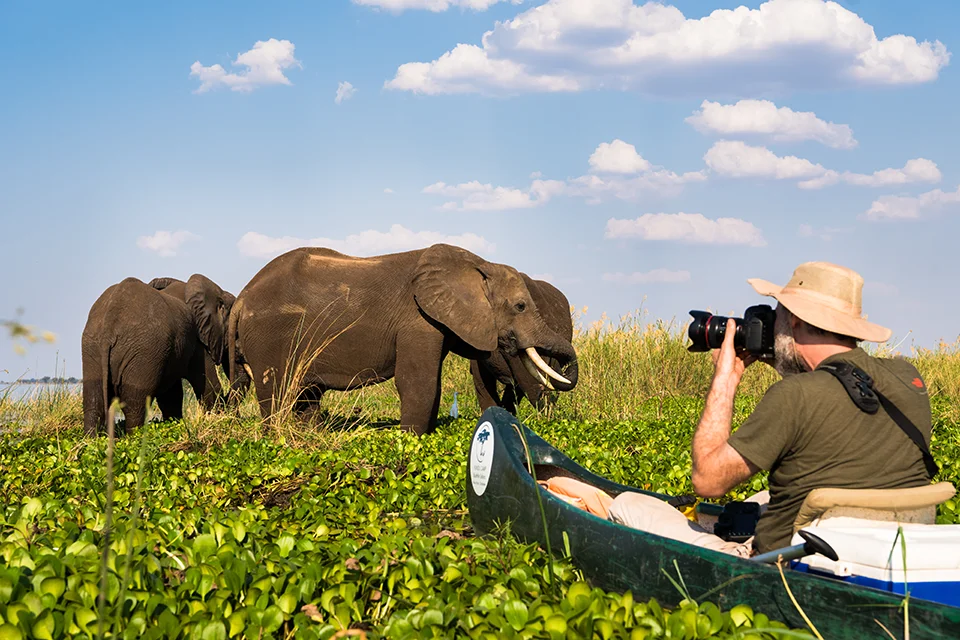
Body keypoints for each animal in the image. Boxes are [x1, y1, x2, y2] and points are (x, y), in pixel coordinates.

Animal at [81, 274, 235, 435]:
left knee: (94, 402)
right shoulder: (197, 341)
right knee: (135, 405)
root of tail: (109, 326)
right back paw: (134, 437)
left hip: (92, 346)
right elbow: (209, 386)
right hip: (143, 350)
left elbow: (171, 397)